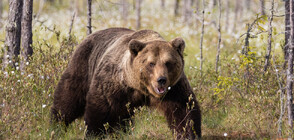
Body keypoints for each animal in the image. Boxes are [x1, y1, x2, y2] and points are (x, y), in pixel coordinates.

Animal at [51, 27, 202, 139]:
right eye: (151, 63)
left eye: (168, 62)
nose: (161, 80)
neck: (141, 88)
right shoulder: (114, 86)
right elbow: (100, 111)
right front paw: (94, 134)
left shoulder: (174, 89)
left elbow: (185, 112)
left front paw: (189, 134)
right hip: (83, 66)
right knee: (68, 99)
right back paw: (56, 125)